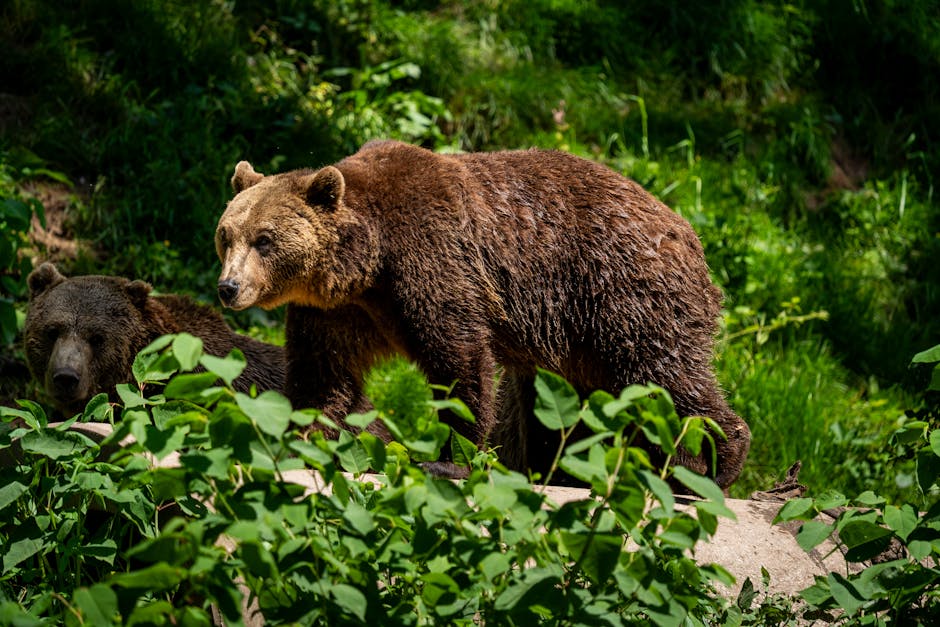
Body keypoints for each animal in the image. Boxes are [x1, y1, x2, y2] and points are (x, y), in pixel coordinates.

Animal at [214, 140, 750, 487]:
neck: (368, 264)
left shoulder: (432, 263)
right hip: (576, 339)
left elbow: (460, 360)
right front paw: (300, 440)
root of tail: (687, 230)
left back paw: (718, 461)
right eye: (227, 235)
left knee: (663, 375)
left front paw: (450, 459)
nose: (228, 287)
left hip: (620, 292)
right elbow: (322, 374)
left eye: (265, 240)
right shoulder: (340, 312)